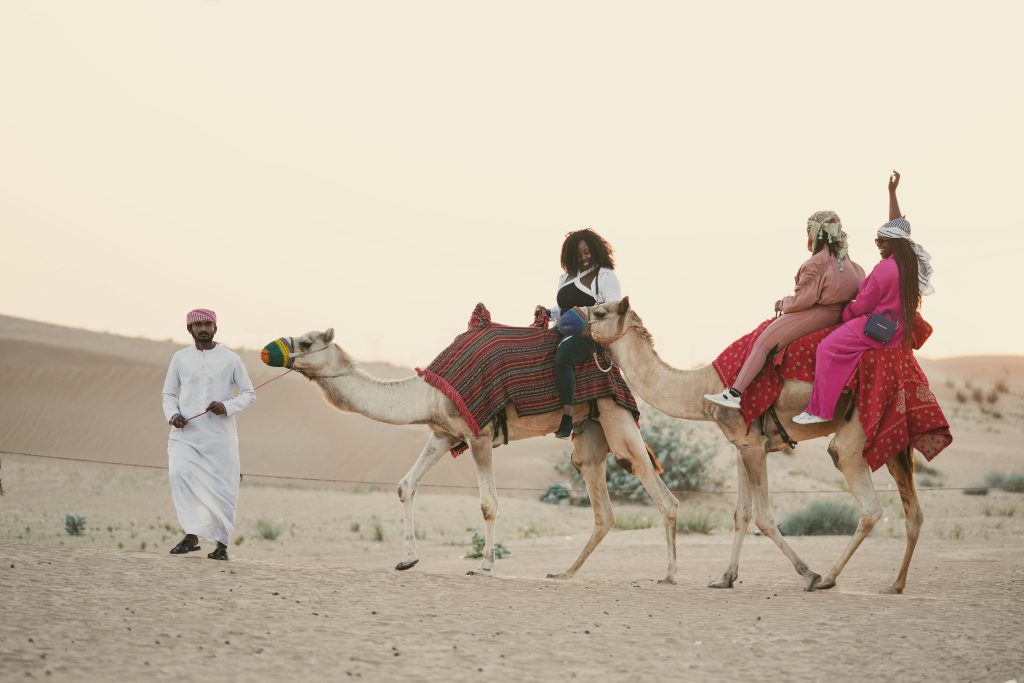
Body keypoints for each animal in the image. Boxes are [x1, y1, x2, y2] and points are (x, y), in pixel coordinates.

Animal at [264, 329, 679, 581]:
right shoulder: (444, 435)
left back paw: (670, 574)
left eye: (306, 342)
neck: (428, 393)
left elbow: (488, 503)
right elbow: (405, 485)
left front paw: (484, 565)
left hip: (616, 417)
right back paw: (564, 573)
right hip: (589, 433)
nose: (271, 350)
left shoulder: (479, 436)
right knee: (603, 509)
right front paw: (407, 558)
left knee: (659, 490)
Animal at [585, 299, 929, 593]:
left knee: (867, 502)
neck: (703, 389)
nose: (575, 315)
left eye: (600, 312)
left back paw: (828, 578)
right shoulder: (743, 444)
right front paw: (725, 578)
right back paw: (896, 584)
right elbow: (742, 514)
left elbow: (763, 516)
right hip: (896, 441)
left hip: (859, 426)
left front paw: (808, 572)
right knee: (914, 512)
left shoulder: (754, 448)